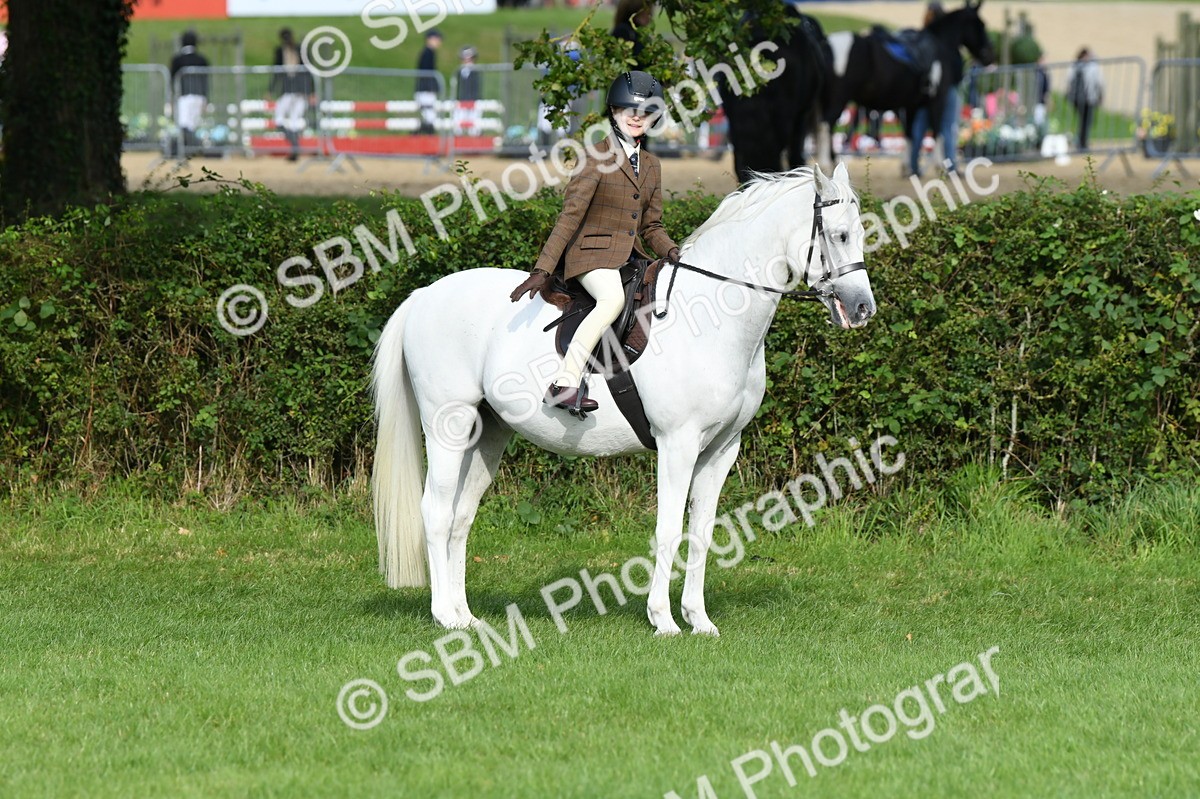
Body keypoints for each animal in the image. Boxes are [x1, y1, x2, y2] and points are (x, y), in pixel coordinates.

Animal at [371, 163, 875, 636]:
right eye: (839, 235)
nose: (862, 308)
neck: (711, 312)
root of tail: (423, 295)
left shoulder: (721, 449)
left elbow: (702, 531)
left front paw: (699, 620)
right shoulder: (678, 443)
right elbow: (668, 529)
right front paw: (664, 620)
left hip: (487, 433)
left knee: (460, 517)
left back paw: (465, 617)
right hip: (448, 424)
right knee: (436, 513)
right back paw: (443, 615)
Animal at [822, 1, 995, 173]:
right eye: (981, 24)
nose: (989, 56)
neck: (939, 46)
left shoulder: (911, 105)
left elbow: (910, 134)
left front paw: (908, 167)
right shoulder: (937, 99)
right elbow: (938, 132)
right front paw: (941, 164)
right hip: (839, 99)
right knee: (826, 125)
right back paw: (827, 164)